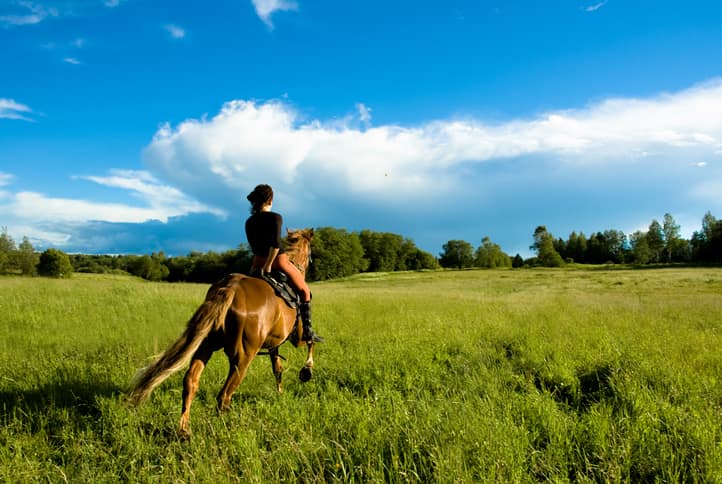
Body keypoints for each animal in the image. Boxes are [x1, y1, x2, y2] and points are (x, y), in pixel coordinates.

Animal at [126, 229, 316, 436]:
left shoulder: (274, 343)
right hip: (243, 358)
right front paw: (307, 370)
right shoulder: (297, 337)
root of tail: (230, 289)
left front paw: (280, 391)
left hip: (206, 346)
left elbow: (277, 369)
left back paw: (184, 430)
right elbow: (310, 341)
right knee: (224, 396)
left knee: (191, 382)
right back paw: (227, 429)